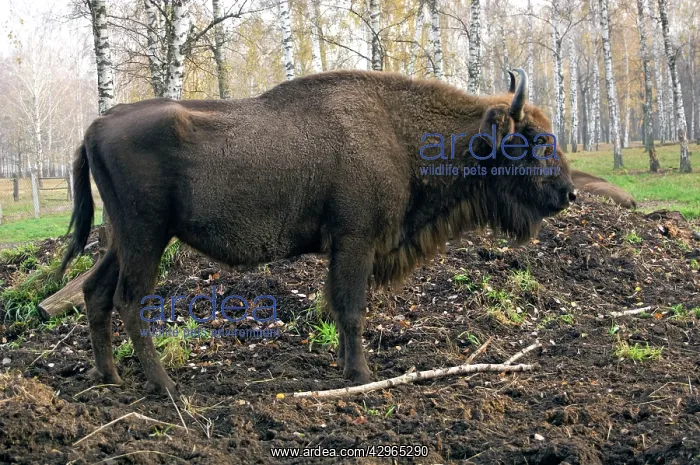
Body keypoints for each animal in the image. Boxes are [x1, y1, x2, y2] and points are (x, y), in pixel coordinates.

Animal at [59, 68, 575, 396]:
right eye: (534, 139)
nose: (568, 193)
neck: (396, 130)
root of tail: (97, 124)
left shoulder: (345, 248)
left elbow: (339, 306)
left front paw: (346, 367)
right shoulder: (355, 241)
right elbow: (352, 308)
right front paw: (362, 374)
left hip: (122, 240)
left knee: (95, 292)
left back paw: (110, 377)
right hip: (146, 237)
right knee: (129, 300)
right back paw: (165, 385)